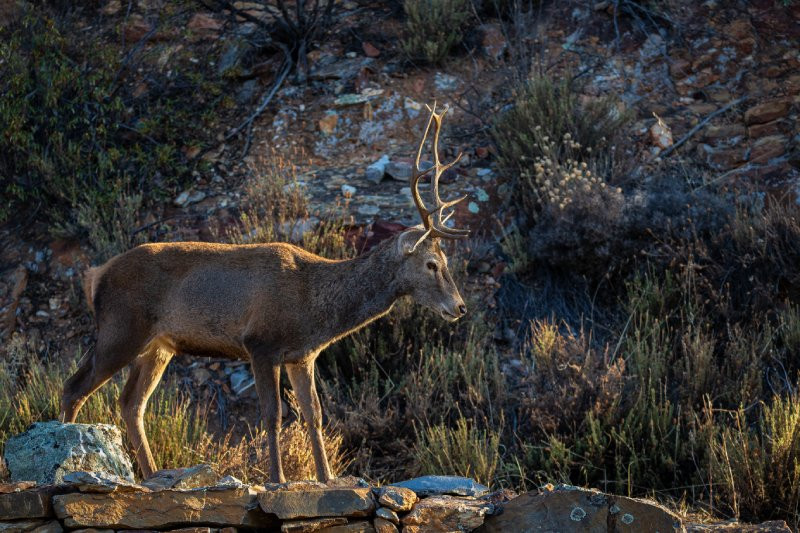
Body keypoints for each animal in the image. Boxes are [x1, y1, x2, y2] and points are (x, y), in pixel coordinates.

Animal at [61, 103, 468, 482]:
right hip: (122, 327)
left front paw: (326, 476)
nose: (460, 307)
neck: (314, 305)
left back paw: (152, 475)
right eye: (432, 263)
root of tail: (95, 275)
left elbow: (315, 415)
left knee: (131, 404)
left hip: (159, 345)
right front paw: (278, 479)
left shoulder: (301, 356)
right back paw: (63, 456)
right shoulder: (260, 342)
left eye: (446, 260)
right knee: (74, 386)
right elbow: (273, 415)